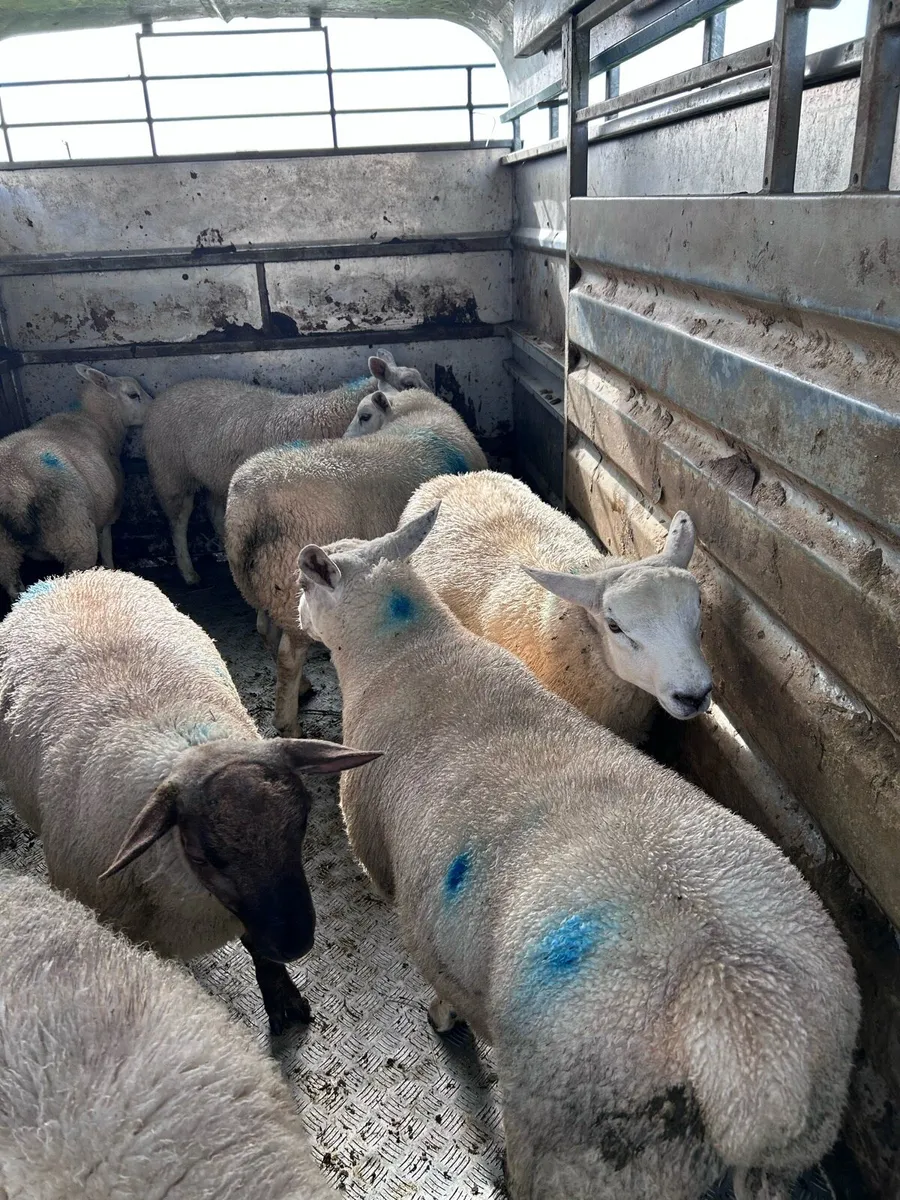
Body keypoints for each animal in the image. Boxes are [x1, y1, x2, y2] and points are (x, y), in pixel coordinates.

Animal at [0, 364, 151, 603]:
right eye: (133, 395)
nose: (154, 408)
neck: (92, 418)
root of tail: (15, 487)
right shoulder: (108, 515)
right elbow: (107, 551)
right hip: (76, 537)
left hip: (5, 553)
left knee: (13, 585)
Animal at [0, 567, 379, 1035]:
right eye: (202, 857)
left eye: (302, 827)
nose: (295, 943)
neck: (187, 746)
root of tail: (71, 575)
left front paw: (282, 997)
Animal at [144, 350, 429, 585]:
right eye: (409, 384)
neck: (330, 415)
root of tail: (165, 395)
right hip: (171, 476)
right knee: (178, 523)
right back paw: (189, 573)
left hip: (214, 477)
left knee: (213, 511)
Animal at [225, 387, 487, 737]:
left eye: (364, 416)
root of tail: (247, 512)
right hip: (286, 581)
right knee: (288, 654)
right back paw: (288, 723)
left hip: (263, 581)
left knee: (265, 629)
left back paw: (301, 687)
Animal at [294, 507, 860, 1200]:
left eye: (308, 584)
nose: (296, 612)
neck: (408, 654)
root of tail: (746, 1047)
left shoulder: (392, 880)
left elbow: (441, 984)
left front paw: (441, 1018)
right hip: (790, 1140)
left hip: (586, 1143)